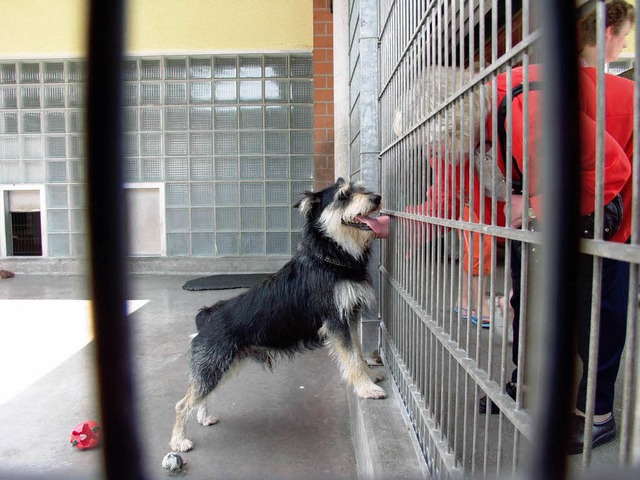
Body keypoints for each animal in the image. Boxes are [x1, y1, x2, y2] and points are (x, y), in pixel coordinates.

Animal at [170, 178, 390, 452]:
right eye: (343, 196)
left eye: (360, 188)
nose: (377, 198)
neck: (330, 257)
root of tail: (206, 317)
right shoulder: (335, 322)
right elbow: (351, 359)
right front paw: (366, 388)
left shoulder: (349, 318)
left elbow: (358, 354)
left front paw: (369, 377)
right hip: (213, 365)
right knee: (182, 404)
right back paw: (178, 441)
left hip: (221, 366)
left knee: (199, 396)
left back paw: (204, 417)